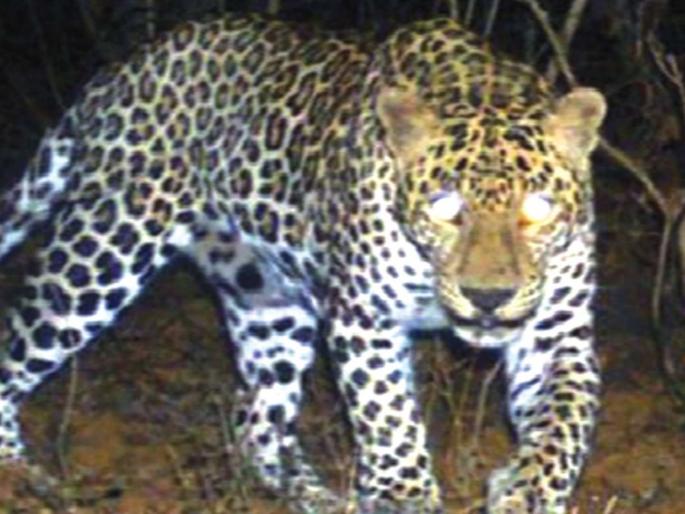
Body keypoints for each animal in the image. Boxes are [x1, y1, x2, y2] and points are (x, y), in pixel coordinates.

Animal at [0, 13, 605, 514]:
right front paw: (403, 495)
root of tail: (119, 70)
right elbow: (388, 415)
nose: (488, 297)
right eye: (445, 207)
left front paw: (526, 489)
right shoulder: (364, 318)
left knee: (255, 422)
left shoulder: (555, 332)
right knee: (14, 350)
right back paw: (21, 477)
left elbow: (566, 420)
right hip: (100, 253)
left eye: (537, 208)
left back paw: (317, 496)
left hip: (267, 303)